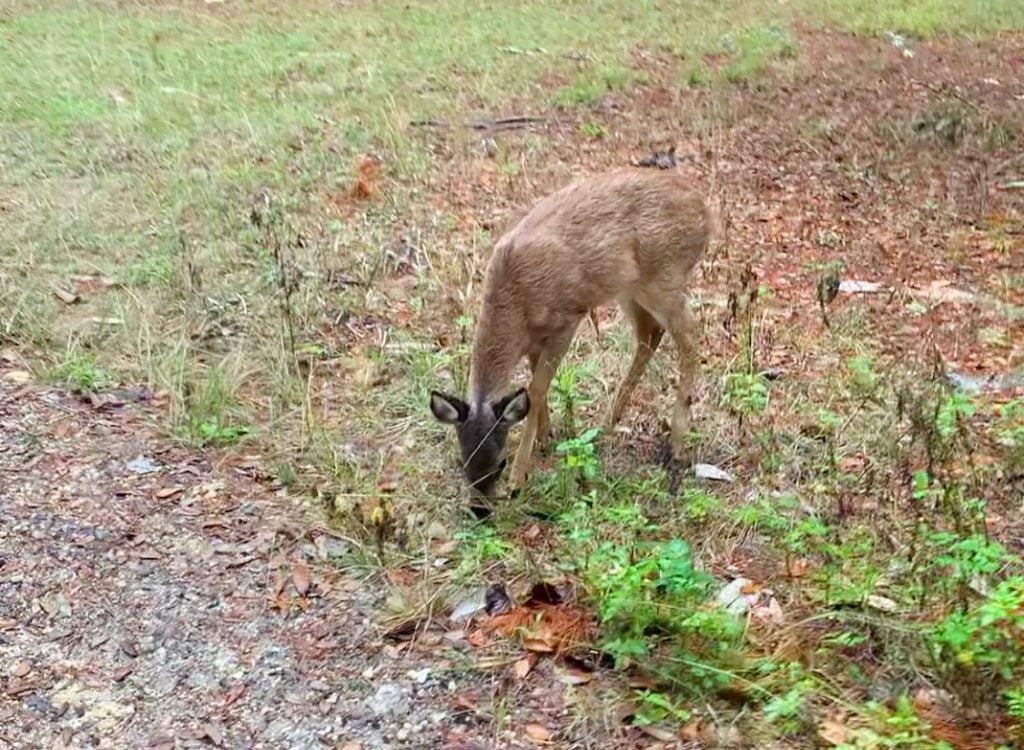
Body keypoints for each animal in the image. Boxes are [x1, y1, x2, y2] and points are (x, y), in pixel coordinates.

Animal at [430, 168, 715, 499]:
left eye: (500, 463)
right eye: (463, 460)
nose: (480, 508)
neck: (516, 303)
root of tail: (705, 210)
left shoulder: (566, 320)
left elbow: (536, 389)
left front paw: (519, 476)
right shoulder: (534, 340)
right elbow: (535, 388)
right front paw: (545, 437)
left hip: (665, 276)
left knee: (689, 339)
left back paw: (675, 445)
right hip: (628, 287)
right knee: (650, 334)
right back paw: (610, 420)